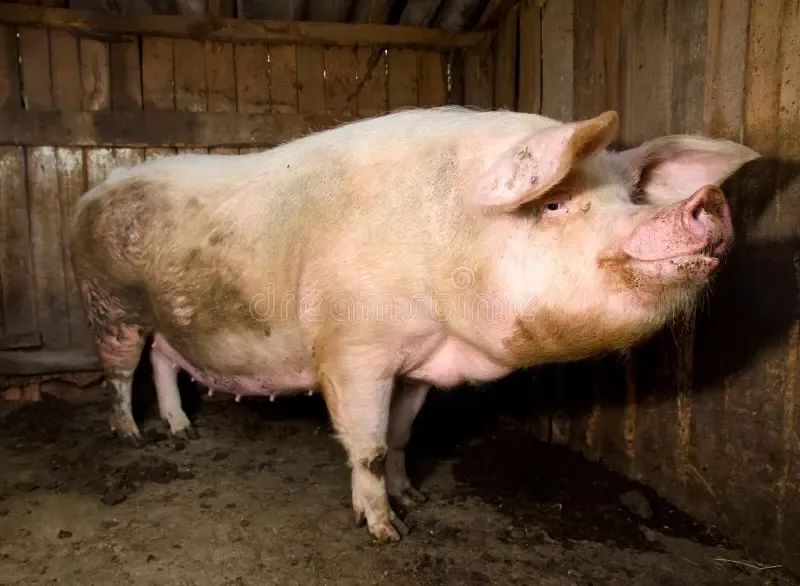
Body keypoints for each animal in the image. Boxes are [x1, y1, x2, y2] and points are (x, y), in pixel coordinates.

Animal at [70, 107, 757, 542]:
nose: (708, 201)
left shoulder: (420, 364)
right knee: (118, 372)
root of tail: (96, 189)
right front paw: (386, 531)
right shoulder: (354, 351)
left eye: (633, 197)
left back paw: (182, 431)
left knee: (163, 358)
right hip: (107, 301)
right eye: (555, 203)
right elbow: (369, 446)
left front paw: (415, 499)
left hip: (162, 318)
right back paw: (133, 438)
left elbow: (402, 436)